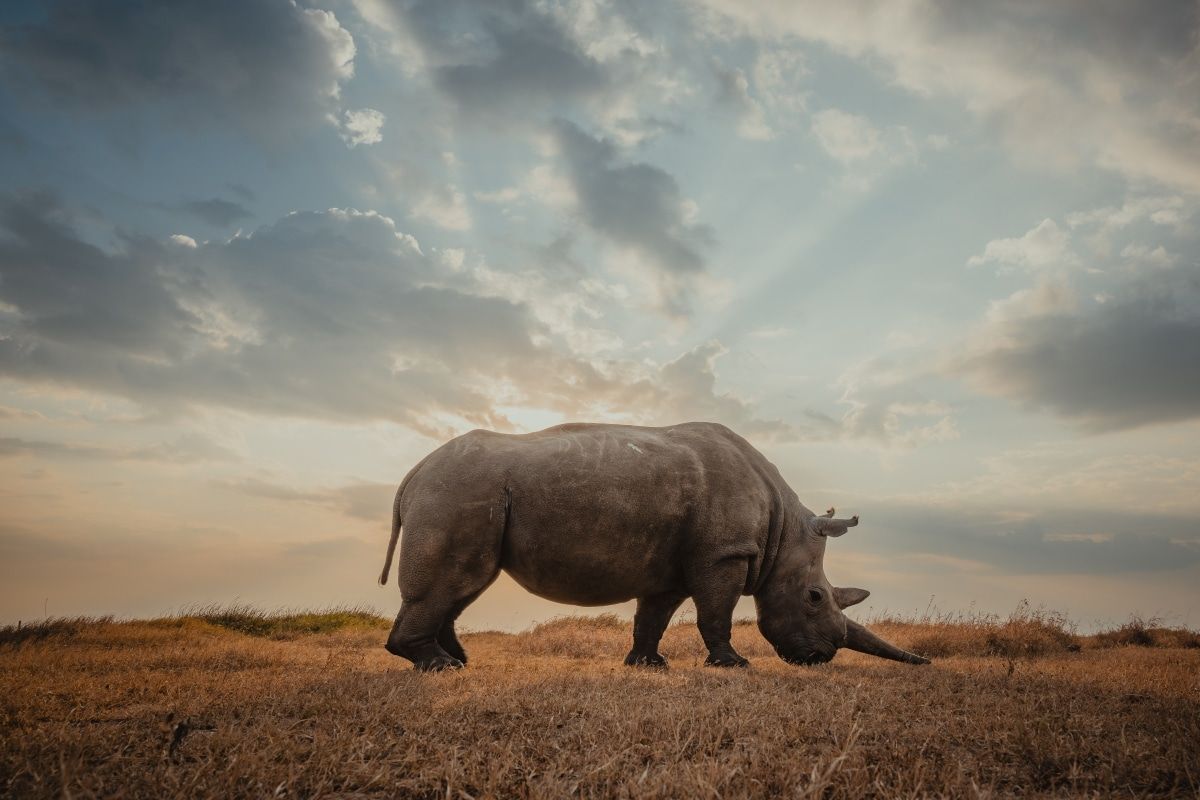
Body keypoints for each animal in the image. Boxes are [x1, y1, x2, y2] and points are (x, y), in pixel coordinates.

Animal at [379, 421, 930, 671]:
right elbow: (716, 613)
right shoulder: (726, 552)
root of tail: (412, 474)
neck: (782, 531)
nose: (818, 659)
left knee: (465, 586)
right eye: (815, 597)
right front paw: (734, 665)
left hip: (461, 490)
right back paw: (439, 667)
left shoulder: (674, 566)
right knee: (459, 580)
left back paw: (459, 661)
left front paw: (648, 665)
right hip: (458, 490)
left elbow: (655, 616)